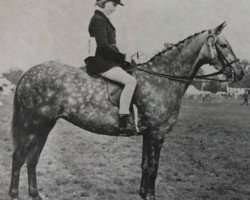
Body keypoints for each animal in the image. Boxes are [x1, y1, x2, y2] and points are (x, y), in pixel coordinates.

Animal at [8, 22, 244, 200]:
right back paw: (14, 194)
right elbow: (153, 168)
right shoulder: (156, 134)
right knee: (19, 157)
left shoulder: (148, 134)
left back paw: (35, 194)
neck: (162, 79)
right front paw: (150, 196)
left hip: (45, 126)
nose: (240, 72)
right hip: (33, 125)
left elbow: (145, 165)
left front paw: (142, 194)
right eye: (223, 44)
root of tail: (28, 74)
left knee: (32, 158)